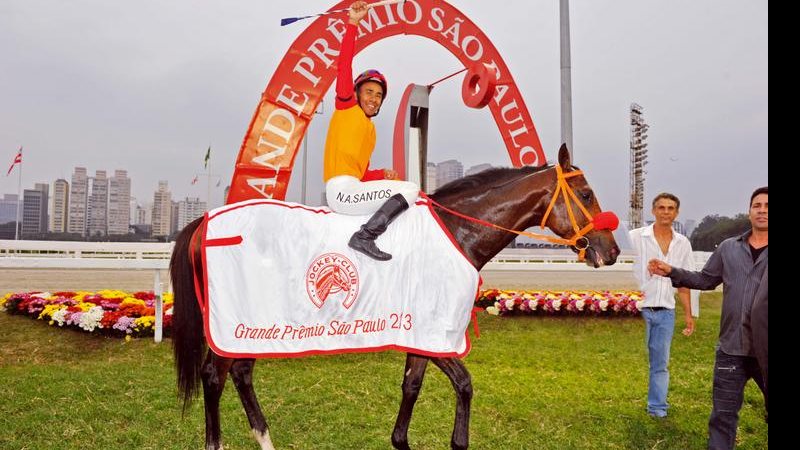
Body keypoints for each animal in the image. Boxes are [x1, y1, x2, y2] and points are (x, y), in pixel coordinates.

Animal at [167, 145, 620, 450]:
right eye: (586, 194)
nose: (612, 251)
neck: (455, 229)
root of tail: (205, 222)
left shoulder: (419, 330)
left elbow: (411, 387)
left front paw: (401, 438)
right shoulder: (434, 329)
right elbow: (464, 384)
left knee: (240, 372)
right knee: (214, 376)